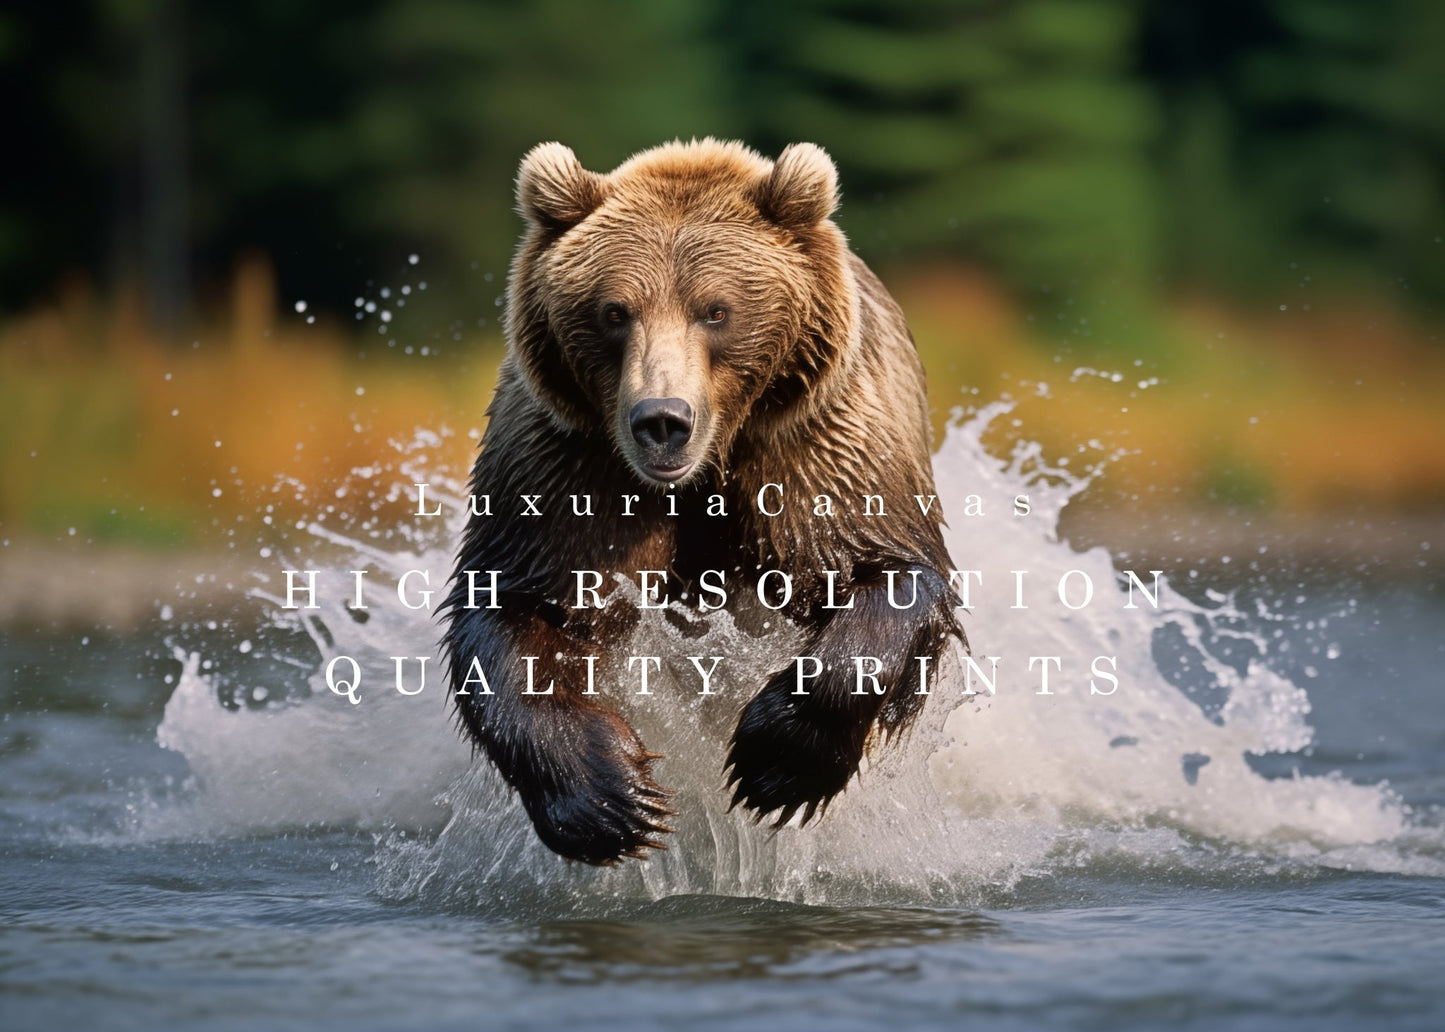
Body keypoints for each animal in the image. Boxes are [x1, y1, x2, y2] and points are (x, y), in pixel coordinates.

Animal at [442, 138, 964, 865]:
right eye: (614, 311)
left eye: (715, 310)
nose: (662, 420)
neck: (704, 470)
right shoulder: (570, 464)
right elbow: (517, 604)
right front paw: (613, 801)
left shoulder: (818, 446)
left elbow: (886, 574)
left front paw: (776, 763)